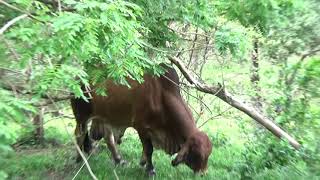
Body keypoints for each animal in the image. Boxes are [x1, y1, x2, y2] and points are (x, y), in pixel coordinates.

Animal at [71, 64, 214, 176]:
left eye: (208, 154)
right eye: (197, 155)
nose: (203, 174)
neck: (161, 96)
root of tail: (78, 76)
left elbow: (146, 150)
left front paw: (142, 162)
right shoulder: (142, 127)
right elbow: (149, 149)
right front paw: (150, 169)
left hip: (105, 117)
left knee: (108, 138)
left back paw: (119, 160)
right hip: (82, 116)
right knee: (80, 135)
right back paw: (79, 160)